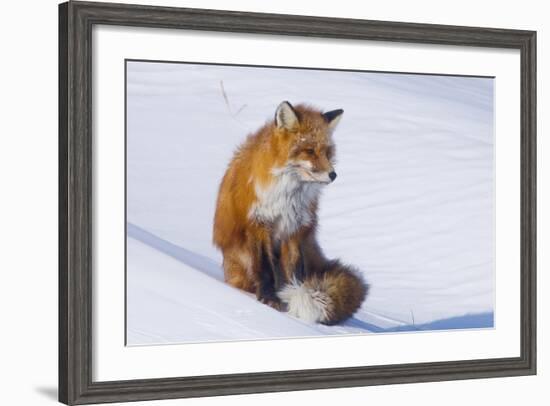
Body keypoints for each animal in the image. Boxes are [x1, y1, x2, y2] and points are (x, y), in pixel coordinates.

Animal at [213, 102, 368, 326]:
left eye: (327, 152)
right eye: (309, 150)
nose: (333, 175)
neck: (287, 195)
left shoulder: (294, 228)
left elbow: (294, 272)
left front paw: (292, 296)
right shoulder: (259, 223)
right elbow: (265, 268)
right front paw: (269, 299)